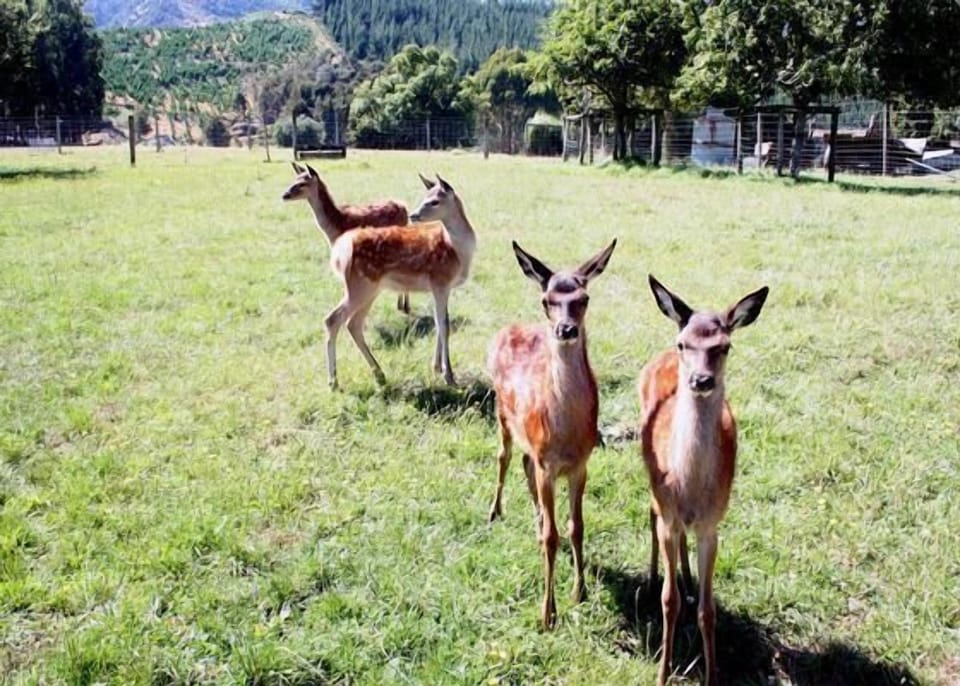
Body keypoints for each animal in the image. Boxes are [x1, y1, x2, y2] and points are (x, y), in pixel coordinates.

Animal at [282, 162, 413, 314]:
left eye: (302, 183)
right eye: (295, 179)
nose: (284, 195)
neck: (335, 227)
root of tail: (404, 207)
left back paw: (405, 306)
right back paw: (400, 305)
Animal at [320, 173, 476, 389]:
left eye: (434, 201)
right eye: (426, 197)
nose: (414, 215)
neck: (456, 251)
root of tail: (340, 253)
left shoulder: (442, 286)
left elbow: (441, 322)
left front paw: (436, 367)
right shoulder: (440, 280)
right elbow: (443, 324)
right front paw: (449, 375)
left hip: (369, 288)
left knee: (353, 324)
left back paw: (379, 374)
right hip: (359, 285)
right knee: (332, 319)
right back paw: (333, 381)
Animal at [487, 239, 617, 630]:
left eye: (583, 298)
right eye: (547, 300)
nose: (566, 329)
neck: (567, 432)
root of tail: (505, 329)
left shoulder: (581, 465)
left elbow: (576, 527)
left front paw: (580, 591)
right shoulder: (548, 464)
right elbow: (552, 536)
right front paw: (548, 614)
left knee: (523, 466)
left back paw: (534, 520)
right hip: (501, 412)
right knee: (504, 457)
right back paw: (494, 512)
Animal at [638, 275, 768, 686]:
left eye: (724, 346)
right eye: (684, 343)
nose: (701, 379)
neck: (689, 485)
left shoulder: (713, 525)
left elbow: (708, 610)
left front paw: (712, 674)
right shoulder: (668, 514)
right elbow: (669, 601)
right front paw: (663, 672)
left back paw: (686, 573)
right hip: (651, 483)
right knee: (650, 512)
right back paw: (653, 576)